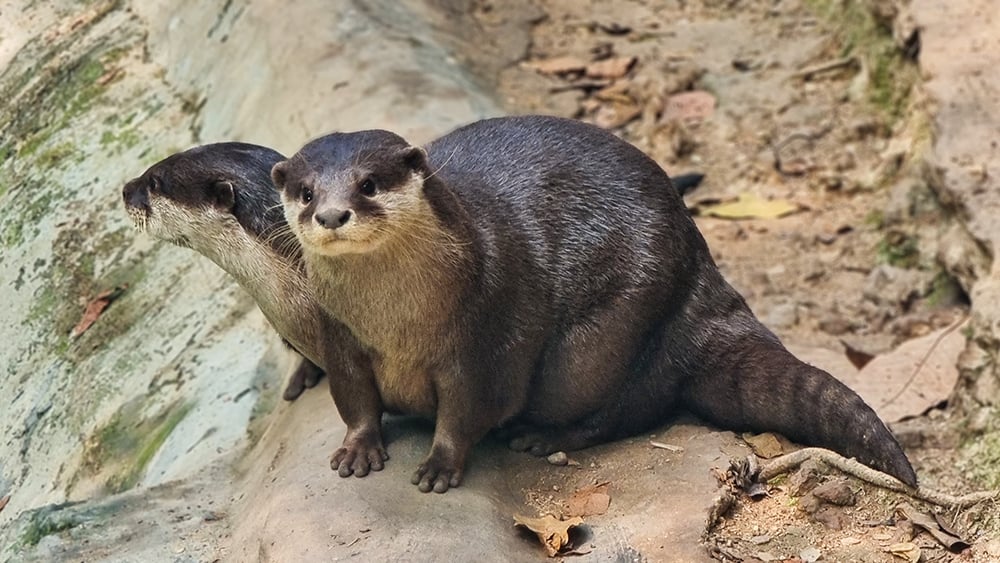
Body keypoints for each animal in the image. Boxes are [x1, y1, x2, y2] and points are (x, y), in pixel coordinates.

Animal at [272, 115, 917, 494]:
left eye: (369, 184)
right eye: (305, 193)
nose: (331, 214)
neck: (397, 322)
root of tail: (700, 274)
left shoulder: (482, 337)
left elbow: (468, 409)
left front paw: (439, 465)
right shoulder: (340, 336)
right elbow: (355, 399)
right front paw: (358, 449)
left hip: (608, 332)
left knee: (623, 410)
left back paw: (544, 438)